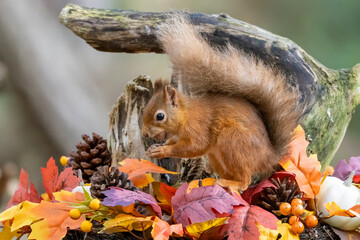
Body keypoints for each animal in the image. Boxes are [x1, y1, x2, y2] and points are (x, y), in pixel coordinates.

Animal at [141, 14, 300, 190]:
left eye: (160, 116)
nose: (145, 134)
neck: (185, 115)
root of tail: (268, 156)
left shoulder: (198, 128)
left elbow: (194, 146)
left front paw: (163, 151)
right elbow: (173, 141)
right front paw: (157, 147)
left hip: (233, 142)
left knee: (245, 181)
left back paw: (229, 183)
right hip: (217, 156)